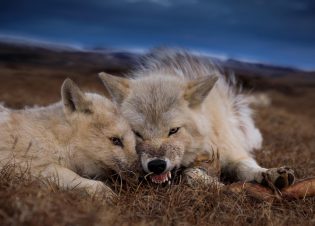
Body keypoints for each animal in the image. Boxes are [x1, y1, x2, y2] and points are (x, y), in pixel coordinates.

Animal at [0, 78, 138, 198]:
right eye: (115, 140)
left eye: (134, 142)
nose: (141, 174)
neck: (56, 137)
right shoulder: (23, 164)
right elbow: (73, 176)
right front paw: (106, 194)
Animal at [100, 49, 296, 189]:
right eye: (137, 133)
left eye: (173, 130)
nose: (157, 165)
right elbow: (190, 174)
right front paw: (213, 183)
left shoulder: (231, 150)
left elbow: (246, 166)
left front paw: (269, 174)